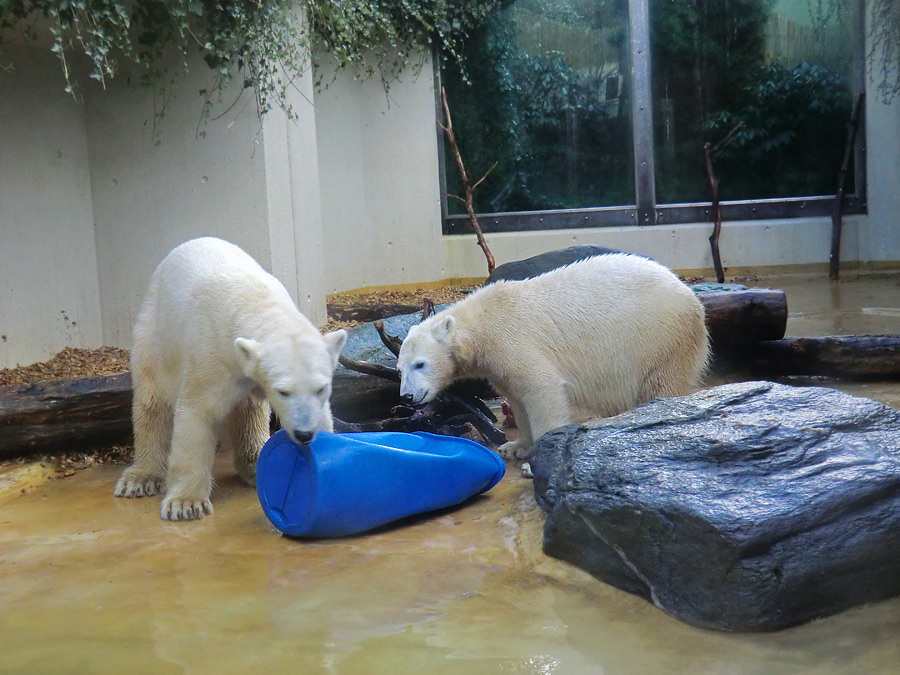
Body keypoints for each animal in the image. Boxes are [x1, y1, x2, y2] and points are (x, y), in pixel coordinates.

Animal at [116, 238, 348, 524]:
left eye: (321, 388)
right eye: (283, 391)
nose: (304, 434)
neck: (255, 302)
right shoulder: (211, 355)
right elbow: (197, 412)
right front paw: (186, 504)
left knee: (249, 412)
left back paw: (254, 463)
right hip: (155, 333)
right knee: (153, 399)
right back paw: (141, 477)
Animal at [398, 254, 708, 460]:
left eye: (420, 364)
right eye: (401, 369)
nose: (407, 396)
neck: (481, 324)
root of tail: (687, 292)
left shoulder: (512, 340)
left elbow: (541, 387)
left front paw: (539, 457)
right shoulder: (497, 363)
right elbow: (517, 397)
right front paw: (515, 447)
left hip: (661, 339)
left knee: (660, 385)